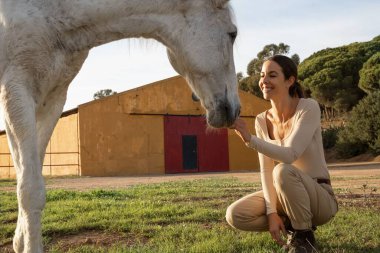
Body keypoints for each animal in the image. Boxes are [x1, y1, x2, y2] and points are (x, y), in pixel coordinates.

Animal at [0, 0, 240, 252]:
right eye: (233, 34)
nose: (234, 109)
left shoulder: (52, 98)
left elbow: (29, 175)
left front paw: (20, 241)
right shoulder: (16, 88)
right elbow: (29, 188)